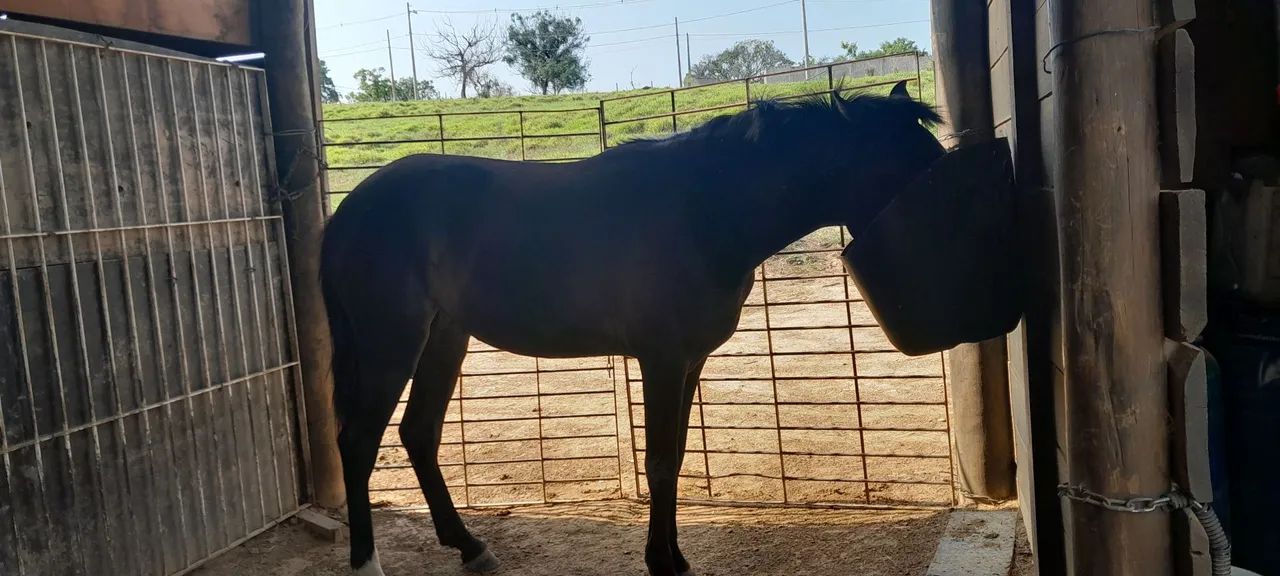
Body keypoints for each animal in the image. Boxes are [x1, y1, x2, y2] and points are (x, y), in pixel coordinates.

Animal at [320, 80, 944, 576]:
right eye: (918, 168)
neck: (703, 211)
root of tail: (349, 211)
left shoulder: (690, 361)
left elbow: (678, 456)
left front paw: (676, 557)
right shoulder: (661, 360)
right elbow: (660, 462)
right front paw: (661, 563)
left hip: (444, 339)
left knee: (418, 433)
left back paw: (472, 547)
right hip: (390, 344)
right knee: (359, 441)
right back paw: (367, 563)